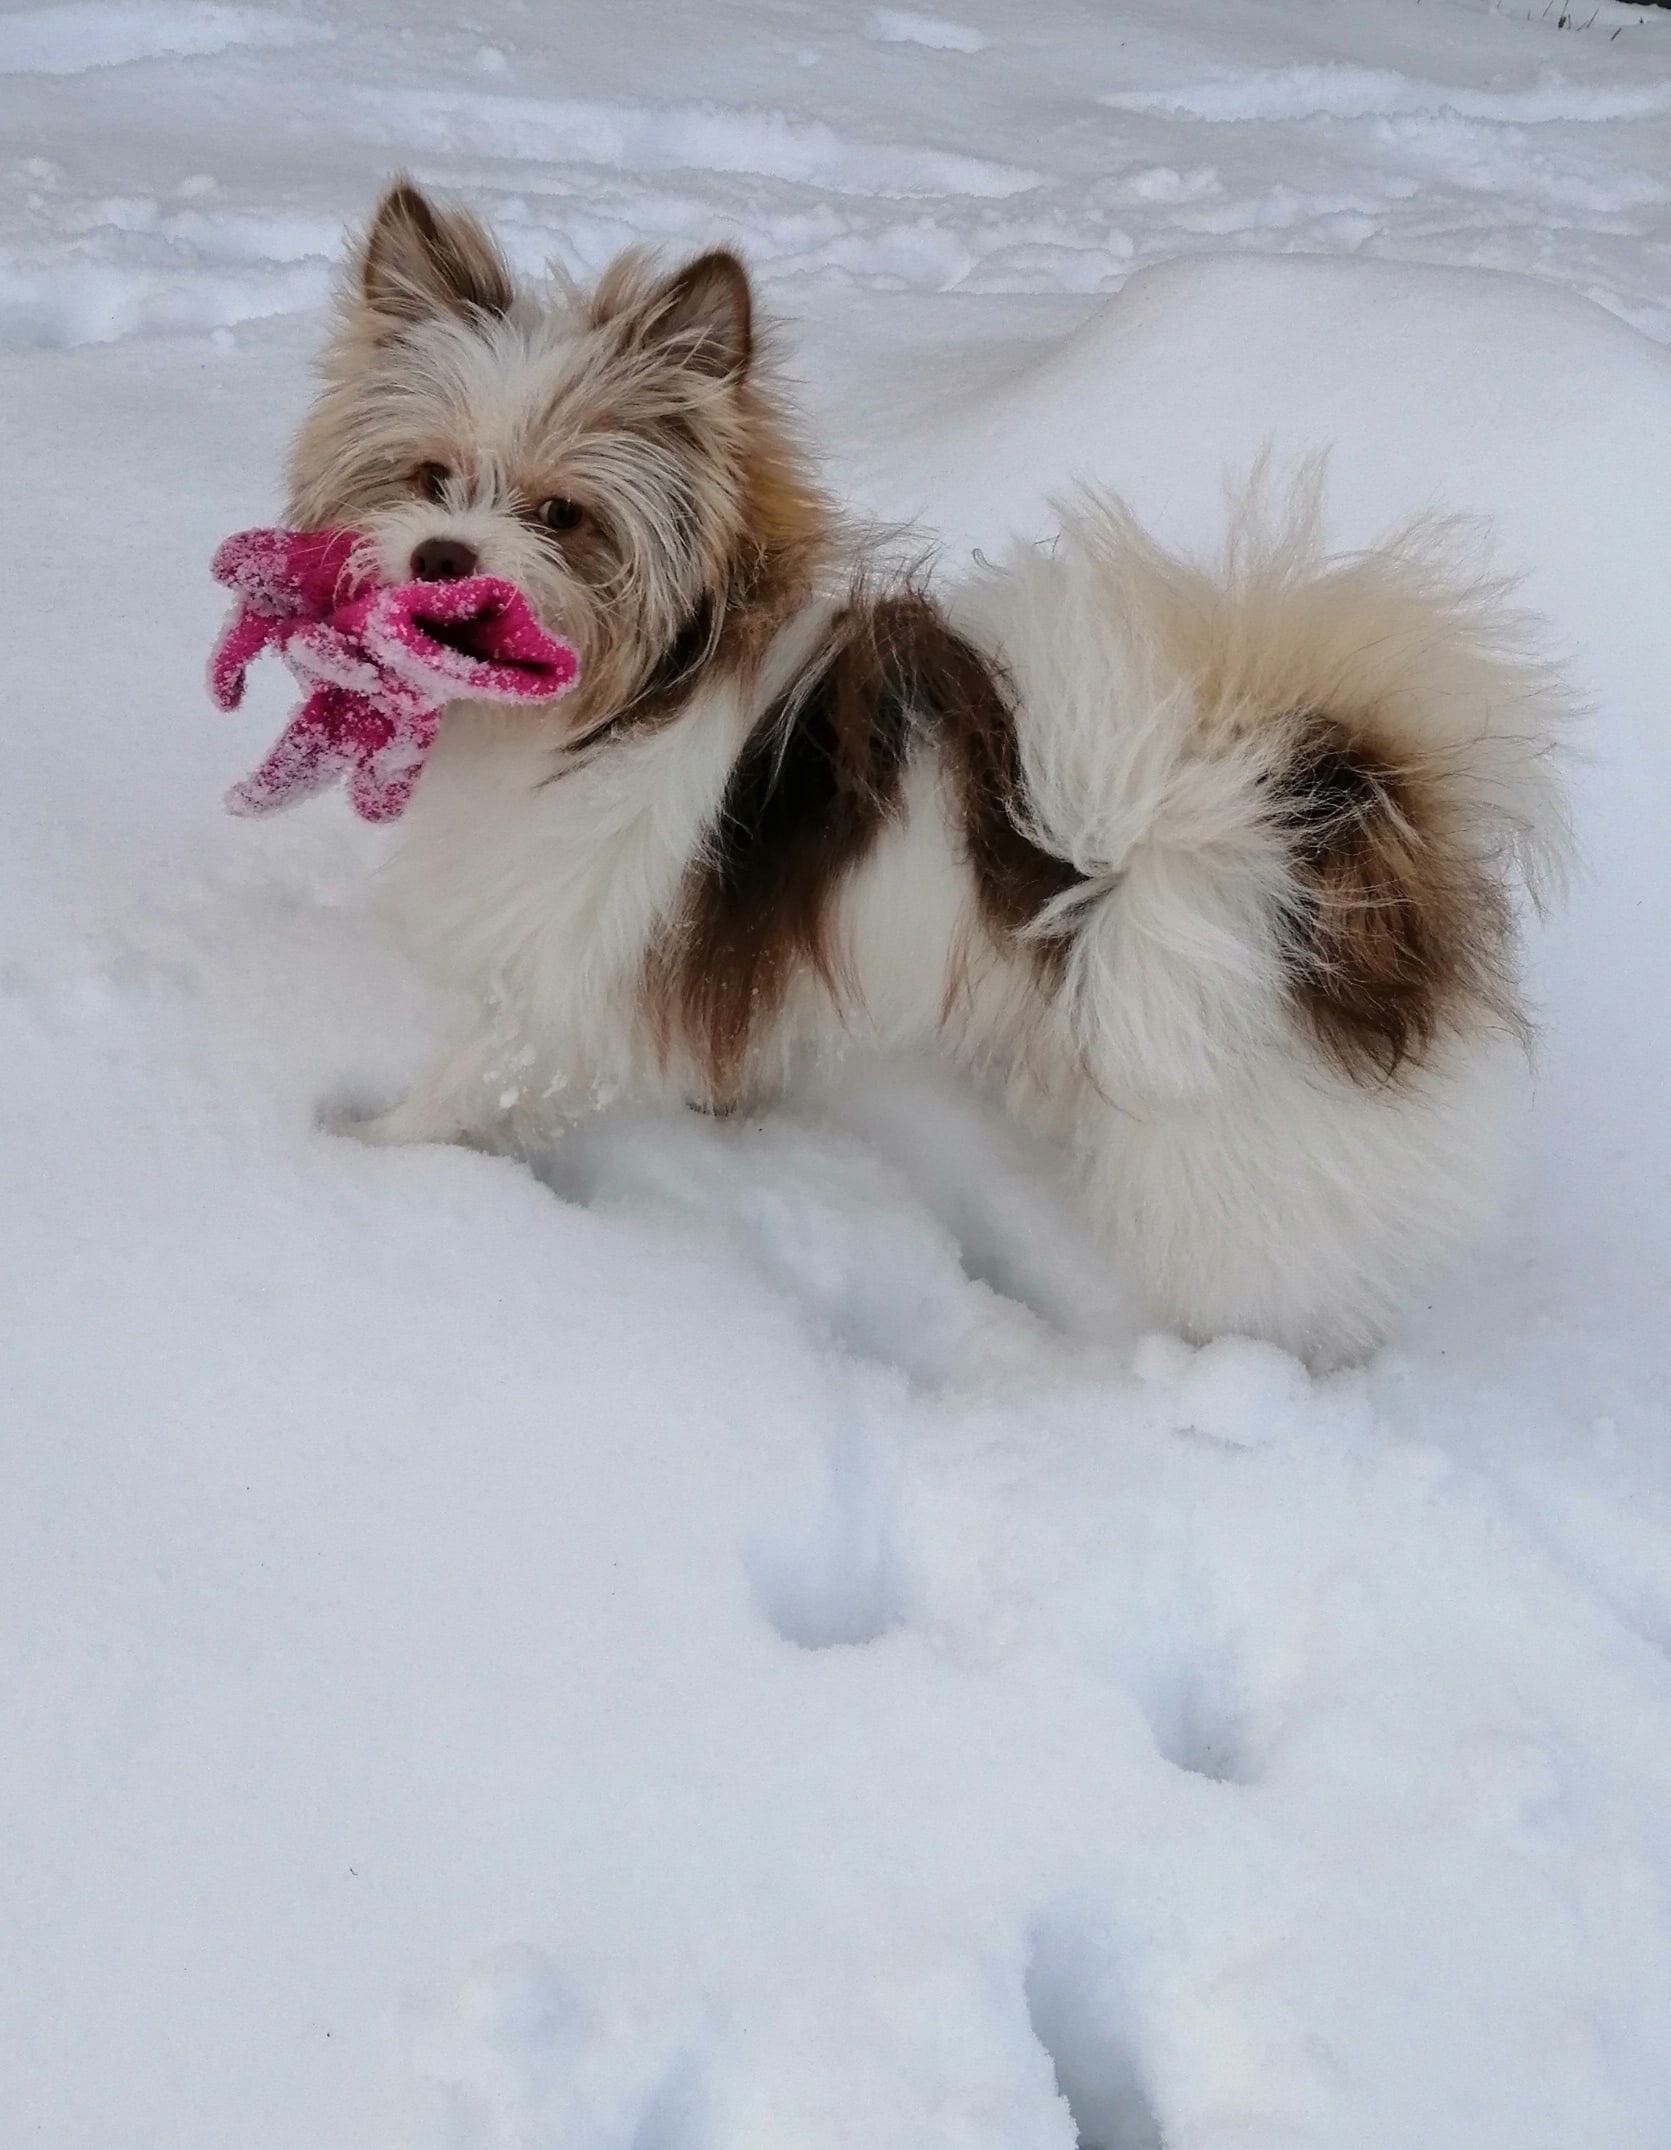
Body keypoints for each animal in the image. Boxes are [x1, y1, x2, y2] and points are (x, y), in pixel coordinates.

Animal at [296, 184, 1565, 1358]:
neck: (620, 701)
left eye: (562, 513)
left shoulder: (575, 970)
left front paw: (362, 1161)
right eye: (428, 477)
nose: (443, 555)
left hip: (1226, 1119)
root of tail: (1344, 805)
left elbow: (473, 1081)